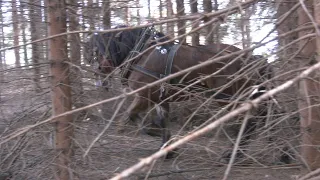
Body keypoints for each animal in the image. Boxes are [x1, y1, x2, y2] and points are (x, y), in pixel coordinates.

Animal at [84, 25, 274, 160]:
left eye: (96, 50)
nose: (98, 77)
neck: (143, 53)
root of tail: (251, 58)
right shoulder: (161, 99)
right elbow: (162, 122)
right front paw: (168, 149)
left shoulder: (145, 95)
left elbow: (137, 119)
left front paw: (165, 142)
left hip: (228, 97)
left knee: (249, 120)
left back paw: (234, 154)